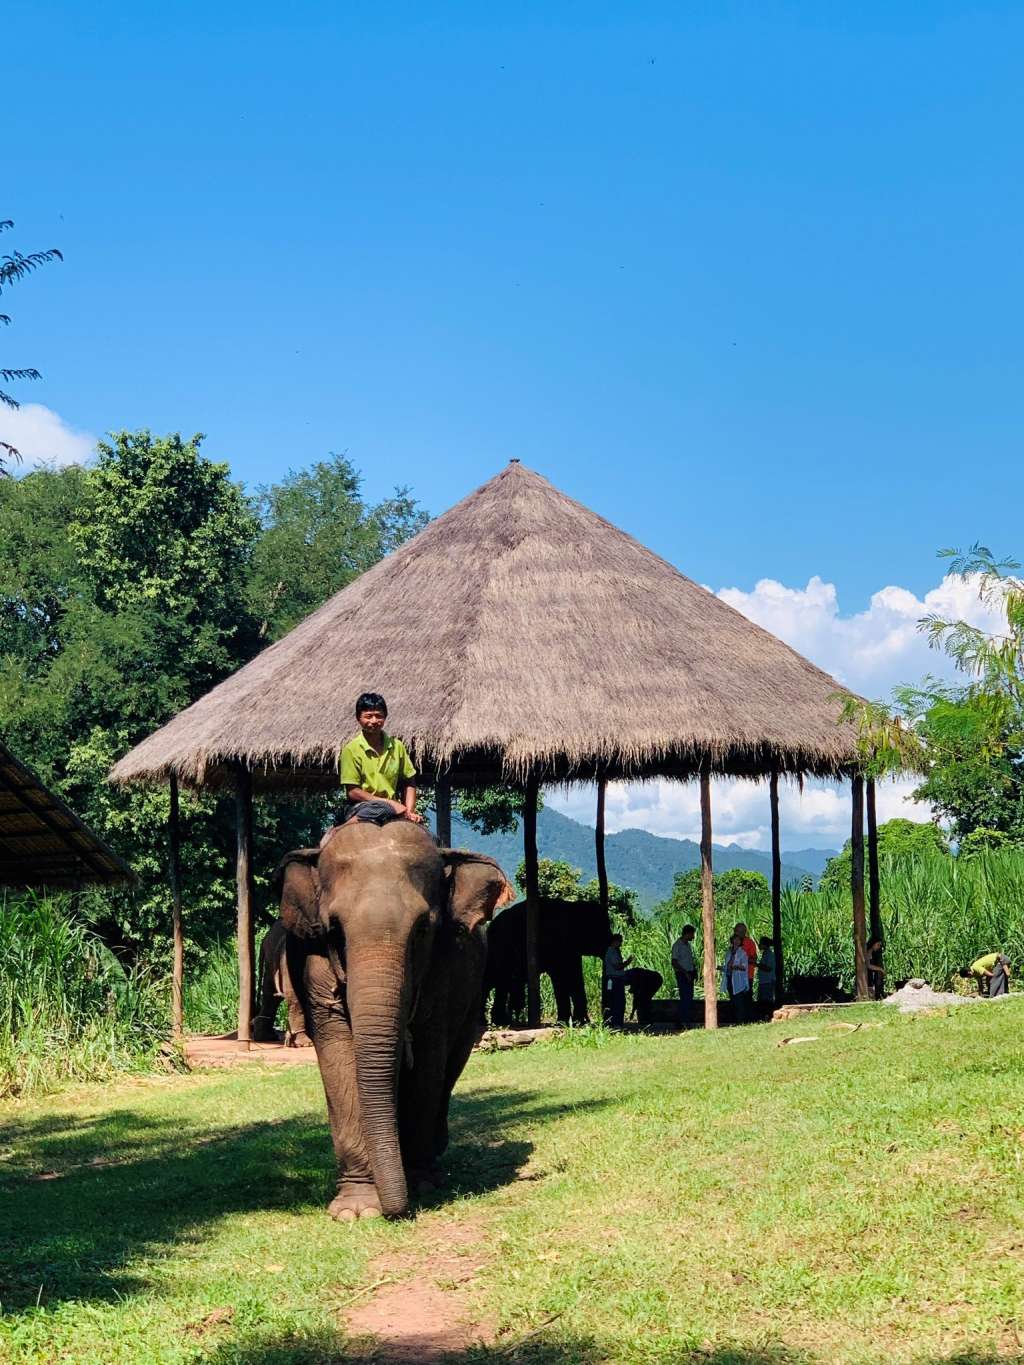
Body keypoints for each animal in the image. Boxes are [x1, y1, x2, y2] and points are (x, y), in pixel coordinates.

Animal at [275, 819, 514, 1221]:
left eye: (422, 929)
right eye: (334, 931)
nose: (395, 1213)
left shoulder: (447, 964)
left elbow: (429, 1055)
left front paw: (420, 1186)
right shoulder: (312, 963)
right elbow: (338, 1052)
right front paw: (356, 1210)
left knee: (451, 1062)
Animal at [484, 897, 611, 1025]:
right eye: (602, 928)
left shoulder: (571, 951)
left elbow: (575, 977)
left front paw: (580, 1022)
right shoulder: (555, 945)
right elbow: (561, 978)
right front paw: (566, 1022)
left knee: (498, 982)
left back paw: (498, 1021)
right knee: (498, 981)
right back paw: (499, 1021)